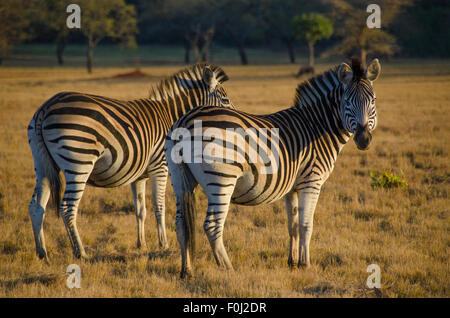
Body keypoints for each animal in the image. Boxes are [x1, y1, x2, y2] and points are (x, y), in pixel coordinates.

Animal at [26, 62, 234, 260]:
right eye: (225, 100)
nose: (233, 126)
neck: (172, 117)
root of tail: (46, 107)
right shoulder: (160, 166)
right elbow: (159, 206)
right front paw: (164, 243)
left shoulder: (139, 175)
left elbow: (140, 209)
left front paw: (141, 244)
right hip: (79, 161)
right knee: (68, 208)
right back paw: (81, 252)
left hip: (42, 164)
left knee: (36, 206)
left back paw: (42, 253)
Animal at [163, 57, 382, 278]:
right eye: (347, 102)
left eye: (373, 101)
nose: (364, 139)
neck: (317, 127)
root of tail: (185, 119)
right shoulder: (311, 181)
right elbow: (306, 224)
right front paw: (306, 264)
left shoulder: (292, 187)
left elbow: (293, 225)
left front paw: (293, 262)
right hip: (221, 179)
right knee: (212, 226)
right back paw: (228, 269)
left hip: (179, 179)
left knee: (181, 223)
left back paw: (186, 271)